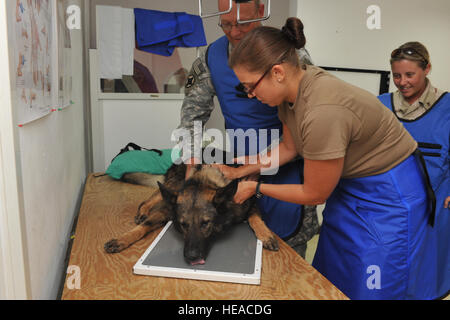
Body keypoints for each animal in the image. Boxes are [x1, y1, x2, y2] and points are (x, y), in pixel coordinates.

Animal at [104, 162, 280, 264]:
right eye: (183, 225)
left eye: (206, 223)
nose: (191, 257)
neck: (205, 181)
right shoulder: (169, 210)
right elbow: (145, 225)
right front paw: (122, 239)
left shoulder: (250, 204)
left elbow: (255, 218)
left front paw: (266, 234)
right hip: (173, 187)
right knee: (150, 199)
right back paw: (143, 211)